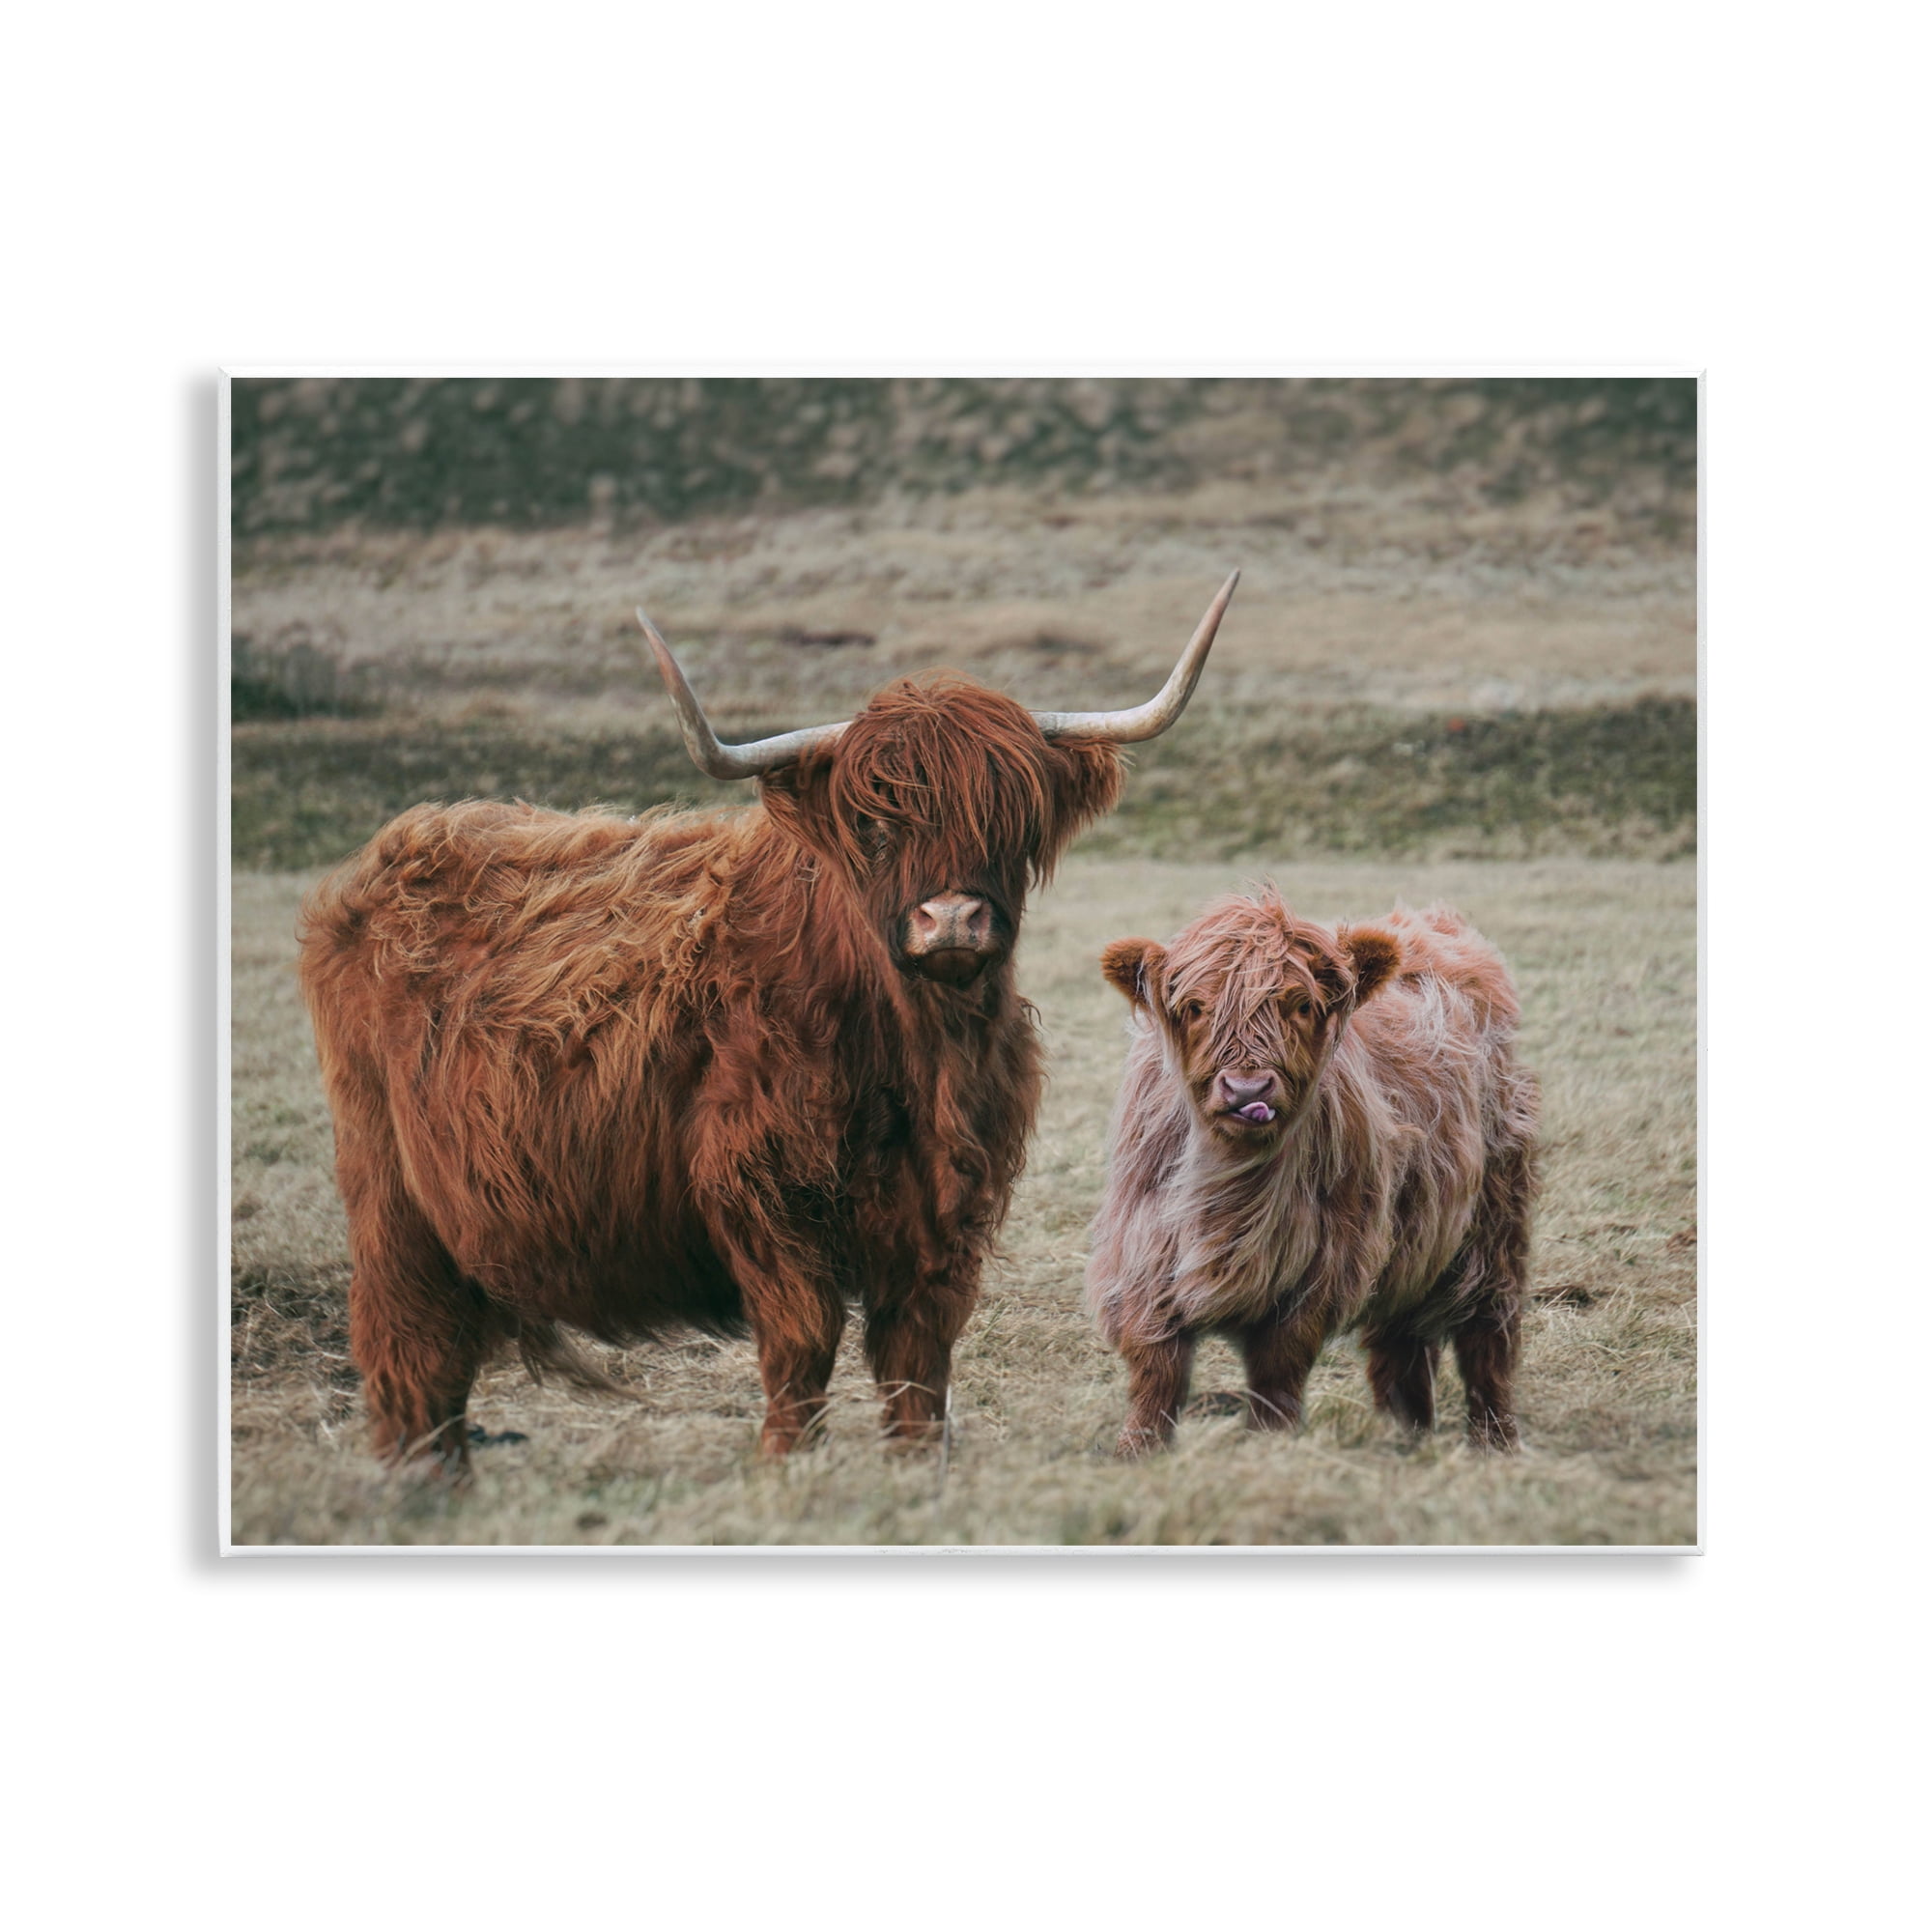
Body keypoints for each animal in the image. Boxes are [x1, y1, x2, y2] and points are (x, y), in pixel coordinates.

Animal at [296, 574, 1240, 1473]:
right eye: (873, 822)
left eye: (1014, 818)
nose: (952, 920)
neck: (914, 1056)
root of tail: (397, 848)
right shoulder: (762, 1191)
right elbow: (802, 1342)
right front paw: (786, 1465)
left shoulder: (948, 1212)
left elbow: (917, 1358)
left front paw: (915, 1467)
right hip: (388, 1190)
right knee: (409, 1347)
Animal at [1086, 888, 1538, 1455]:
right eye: (1195, 1007)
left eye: (1301, 1004)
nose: (1247, 1091)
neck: (1233, 1188)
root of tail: (1430, 922)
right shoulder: (1144, 1255)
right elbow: (1156, 1369)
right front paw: (1137, 1451)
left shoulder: (1319, 1269)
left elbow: (1277, 1370)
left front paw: (1268, 1444)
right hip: (1413, 1235)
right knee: (1401, 1341)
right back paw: (1404, 1435)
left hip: (1495, 1219)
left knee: (1488, 1334)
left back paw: (1493, 1441)